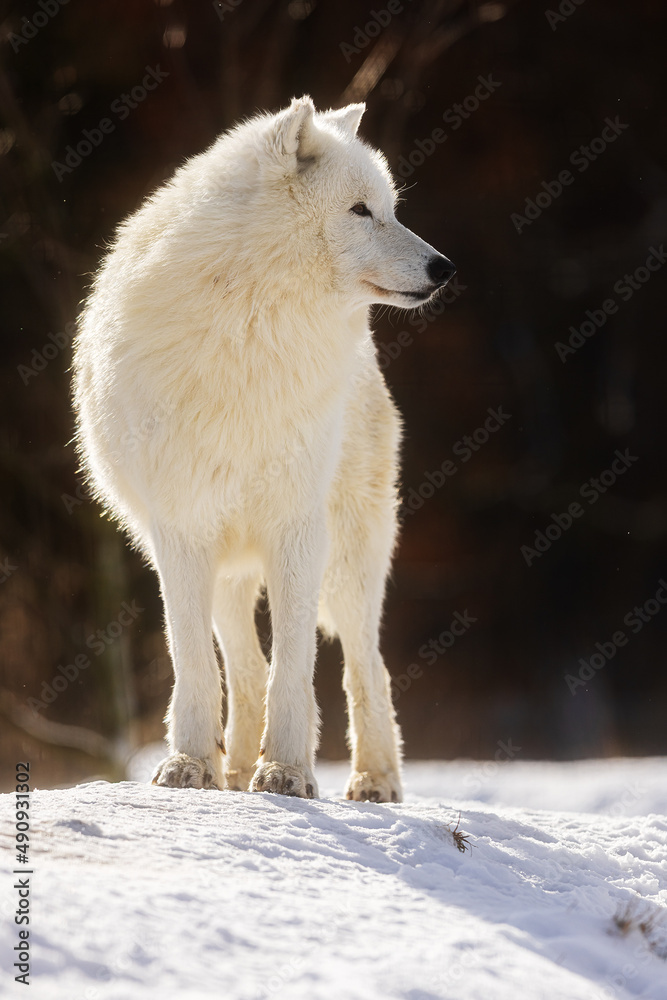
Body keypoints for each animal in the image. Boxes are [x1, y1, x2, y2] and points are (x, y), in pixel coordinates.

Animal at [73, 96, 455, 802]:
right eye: (361, 211)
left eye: (390, 208)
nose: (445, 268)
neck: (255, 327)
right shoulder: (181, 528)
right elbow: (195, 662)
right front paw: (190, 766)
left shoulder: (297, 524)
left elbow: (295, 666)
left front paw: (286, 772)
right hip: (230, 565)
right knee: (244, 669)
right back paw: (231, 771)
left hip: (350, 560)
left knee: (367, 665)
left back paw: (374, 780)